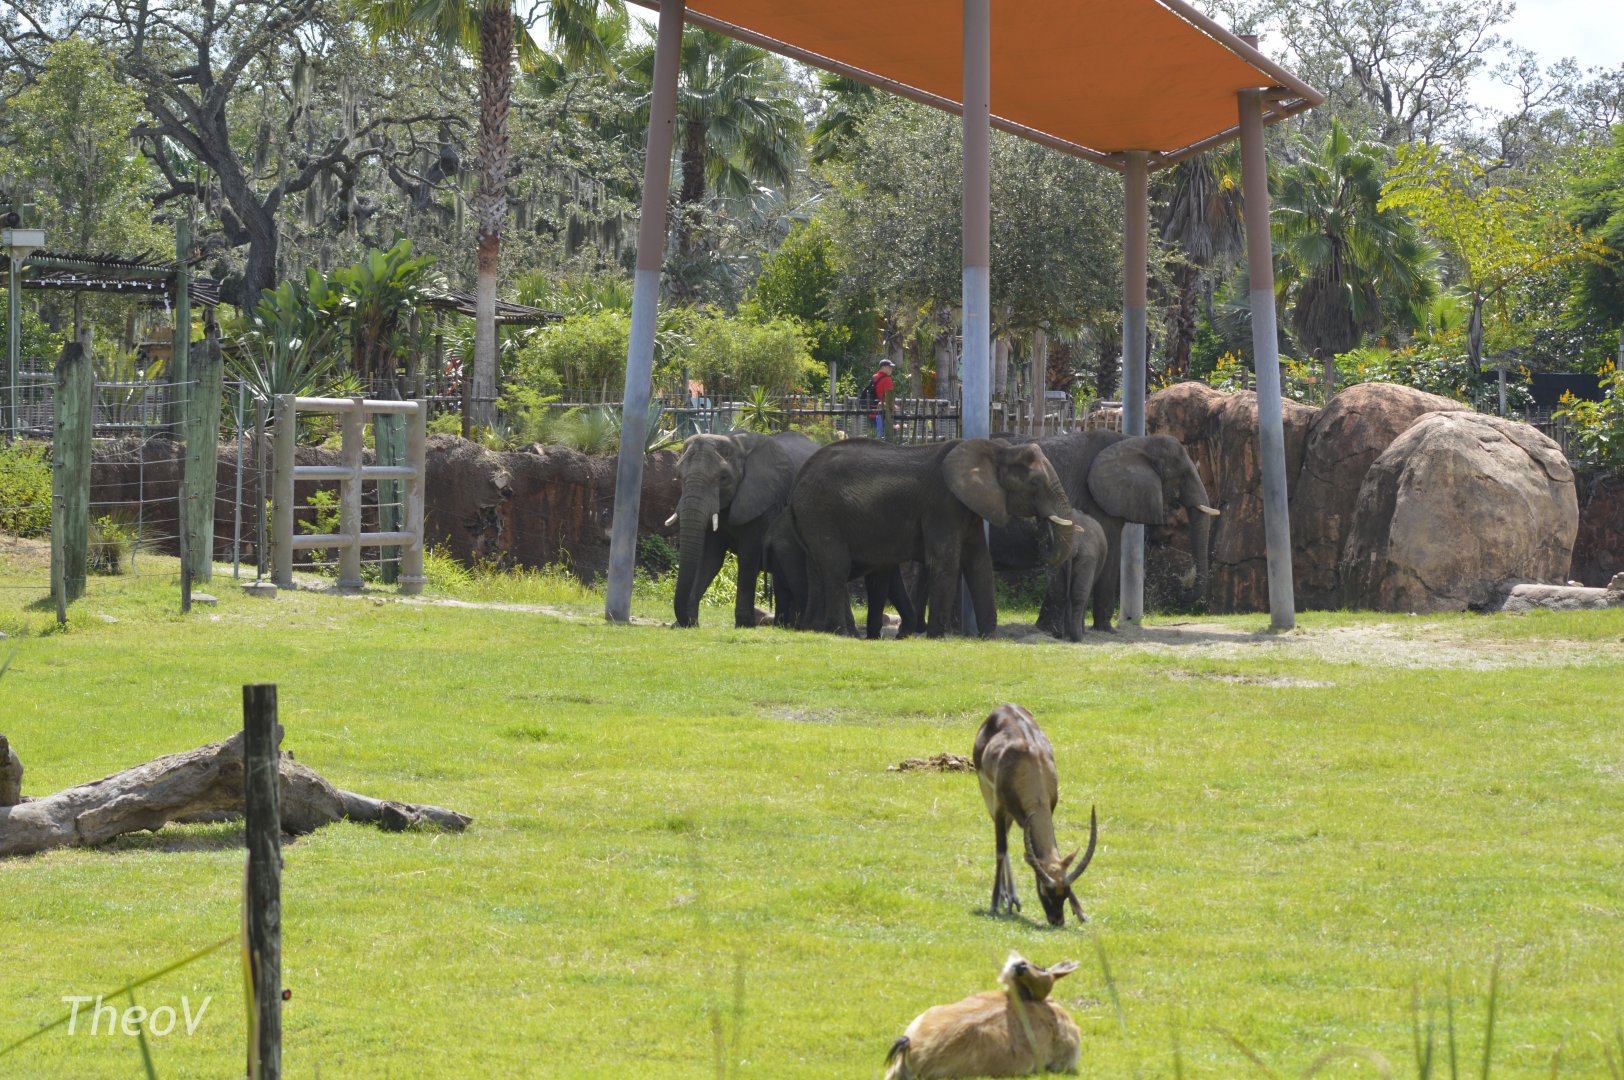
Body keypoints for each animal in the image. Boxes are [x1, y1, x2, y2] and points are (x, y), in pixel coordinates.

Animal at [671, 431, 818, 628]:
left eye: (723, 478)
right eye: (679, 476)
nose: (687, 623)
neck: (737, 444)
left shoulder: (765, 501)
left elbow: (748, 557)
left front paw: (744, 624)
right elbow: (709, 559)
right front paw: (685, 624)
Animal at [785, 438, 1077, 638]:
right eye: (1035, 484)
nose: (1043, 533)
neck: (996, 449)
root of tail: (797, 480)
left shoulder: (968, 508)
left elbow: (979, 563)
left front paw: (989, 638)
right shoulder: (943, 504)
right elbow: (947, 560)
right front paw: (937, 637)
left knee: (820, 570)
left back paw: (823, 631)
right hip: (820, 512)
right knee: (836, 567)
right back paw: (843, 635)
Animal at [994, 432, 1216, 633]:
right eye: (1183, 475)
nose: (1182, 590)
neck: (1134, 441)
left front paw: (1050, 629)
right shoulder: (1096, 499)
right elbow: (1110, 552)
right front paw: (1106, 630)